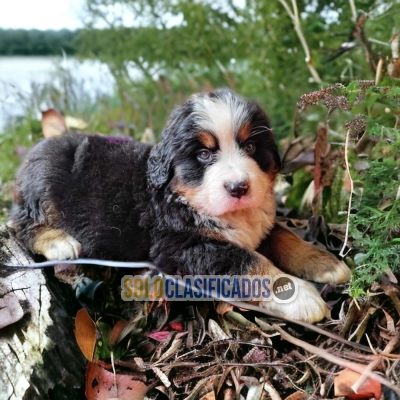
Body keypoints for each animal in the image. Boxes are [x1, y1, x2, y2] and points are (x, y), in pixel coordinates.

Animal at [11, 90, 350, 322]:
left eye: (251, 147)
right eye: (203, 154)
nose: (238, 187)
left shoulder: (261, 224)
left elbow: (285, 237)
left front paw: (325, 262)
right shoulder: (182, 248)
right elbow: (248, 262)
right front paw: (301, 297)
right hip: (44, 188)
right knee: (20, 226)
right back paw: (59, 243)